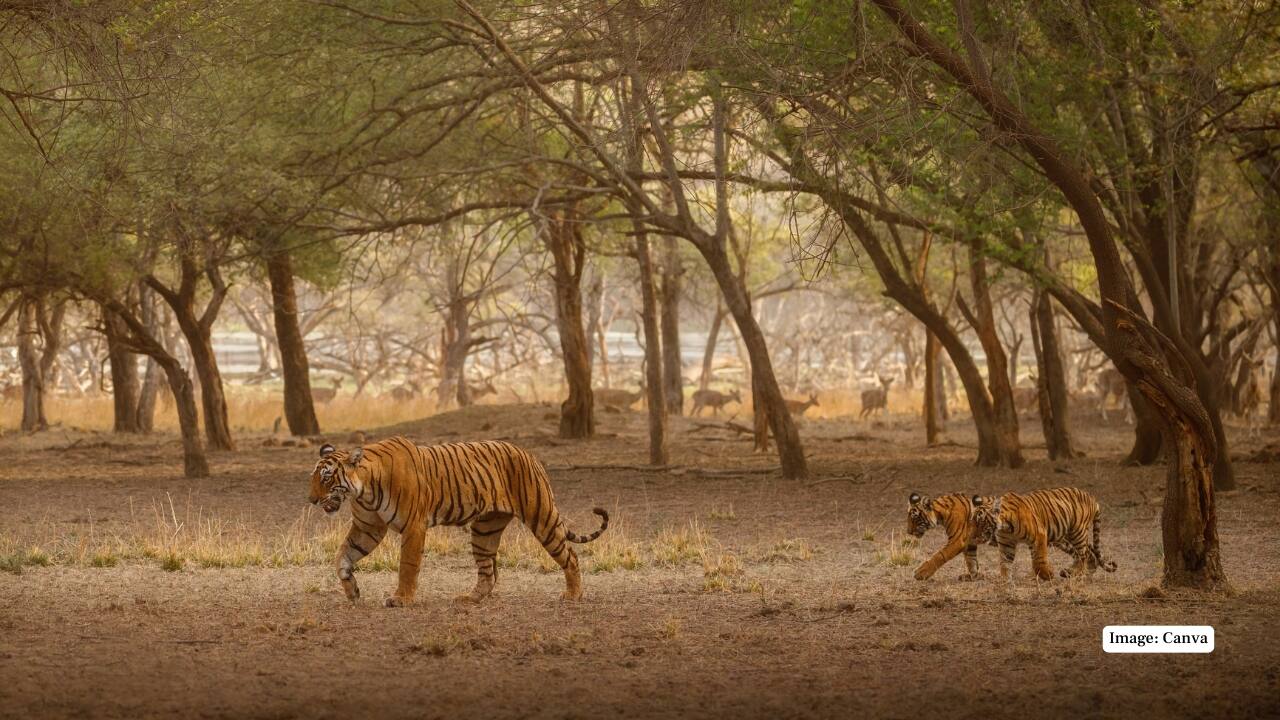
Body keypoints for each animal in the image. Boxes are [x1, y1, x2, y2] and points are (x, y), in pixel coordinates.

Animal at [307, 436, 609, 606]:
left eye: (326, 478)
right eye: (314, 477)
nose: (311, 499)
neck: (364, 490)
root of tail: (529, 453)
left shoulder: (413, 526)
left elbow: (407, 565)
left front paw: (401, 599)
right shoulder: (368, 528)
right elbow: (343, 557)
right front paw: (352, 591)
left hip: (541, 517)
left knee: (570, 556)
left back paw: (573, 595)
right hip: (485, 529)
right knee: (488, 572)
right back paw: (470, 599)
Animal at [971, 487, 1117, 581]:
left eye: (981, 521)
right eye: (972, 521)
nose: (972, 537)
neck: (1005, 527)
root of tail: (1092, 498)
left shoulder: (1038, 536)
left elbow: (1038, 560)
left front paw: (1047, 575)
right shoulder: (1006, 544)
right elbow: (1004, 563)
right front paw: (1005, 581)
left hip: (1077, 532)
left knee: (1083, 555)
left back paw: (1076, 574)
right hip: (1064, 539)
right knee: (1088, 553)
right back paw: (1080, 574)